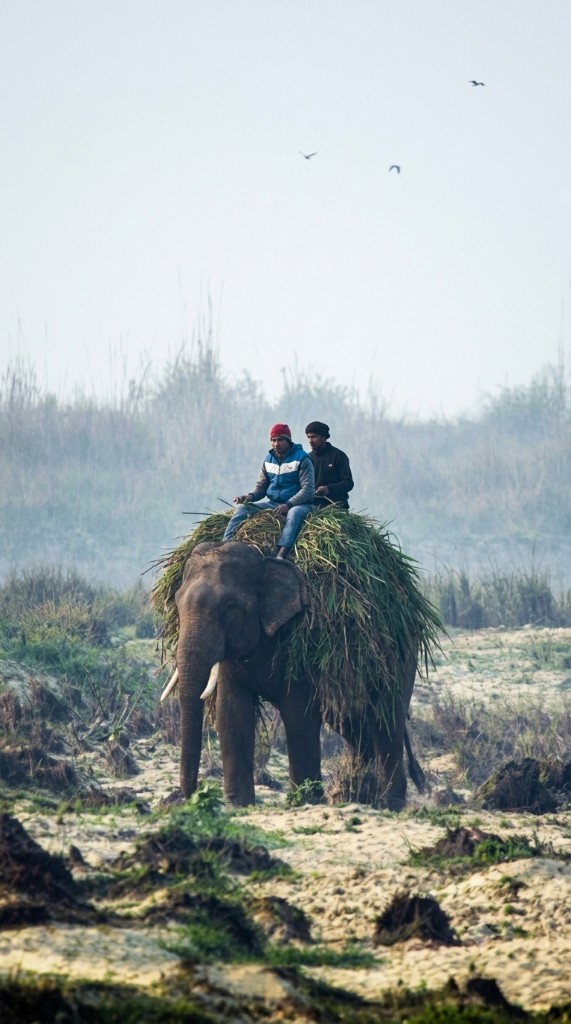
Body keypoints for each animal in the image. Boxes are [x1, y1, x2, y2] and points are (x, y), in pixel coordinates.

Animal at [163, 539, 424, 809]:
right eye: (176, 602)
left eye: (230, 606)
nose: (187, 796)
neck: (264, 561)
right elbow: (232, 712)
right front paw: (239, 806)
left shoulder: (303, 641)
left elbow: (299, 715)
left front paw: (305, 800)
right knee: (352, 724)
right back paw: (355, 796)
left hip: (399, 652)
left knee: (387, 719)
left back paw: (388, 804)